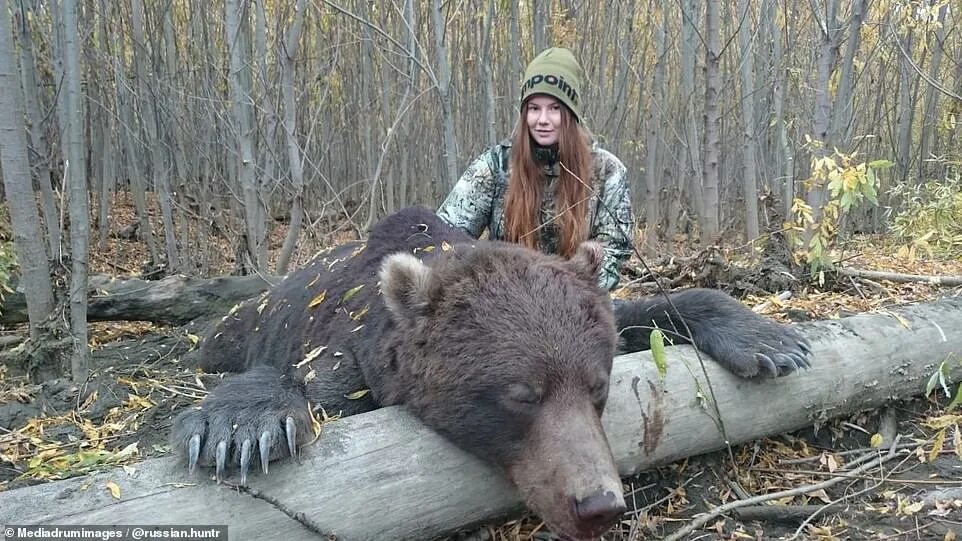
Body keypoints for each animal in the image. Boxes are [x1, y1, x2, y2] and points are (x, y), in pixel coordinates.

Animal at [172, 206, 808, 536]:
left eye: (597, 388)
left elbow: (648, 310)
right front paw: (240, 427)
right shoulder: (353, 347)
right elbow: (305, 378)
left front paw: (771, 339)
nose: (598, 505)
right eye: (522, 394)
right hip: (244, 321)